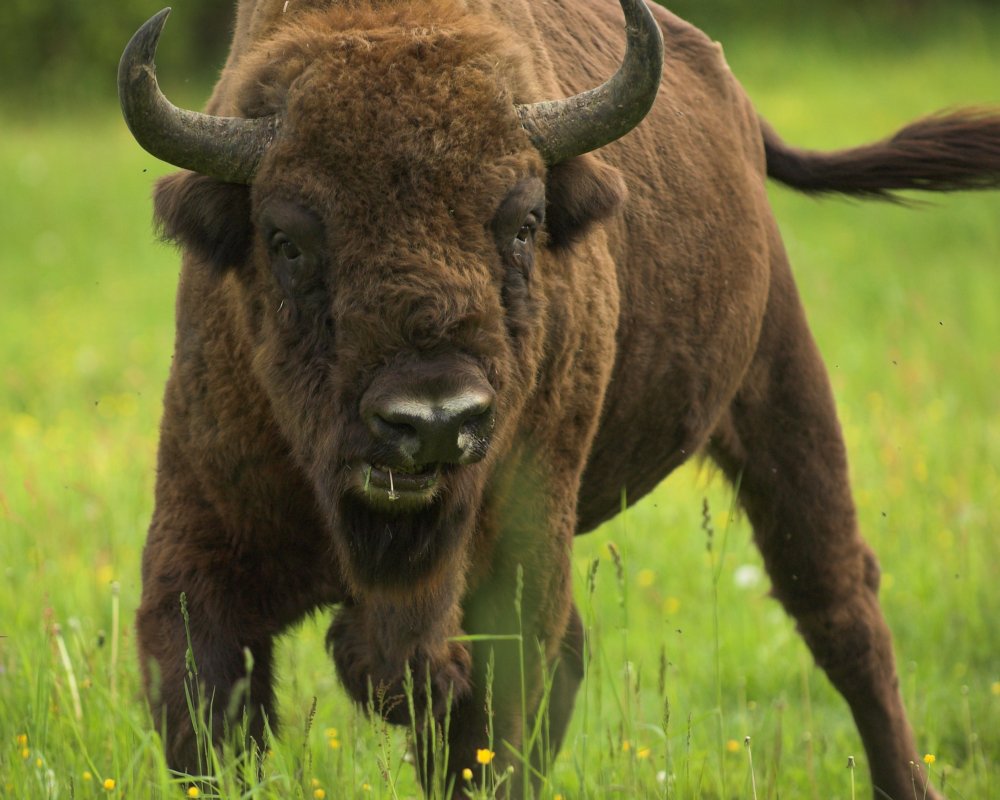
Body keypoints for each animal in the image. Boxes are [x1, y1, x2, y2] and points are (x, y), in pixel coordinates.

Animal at [119, 0, 1000, 796]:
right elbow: (209, 721)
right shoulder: (198, 558)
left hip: (783, 394)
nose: (433, 420)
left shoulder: (517, 568)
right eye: (287, 238)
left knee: (841, 610)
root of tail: (740, 110)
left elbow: (486, 739)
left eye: (523, 221)